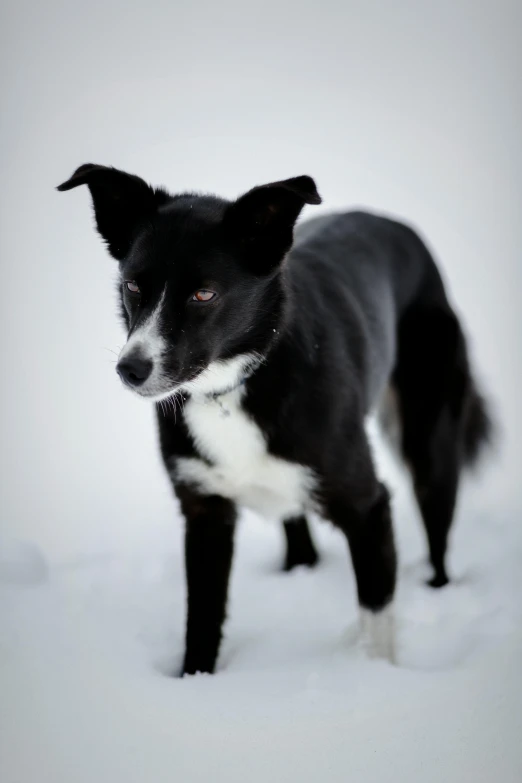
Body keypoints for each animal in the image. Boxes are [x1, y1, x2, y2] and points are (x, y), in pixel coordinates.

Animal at [59, 164, 490, 672]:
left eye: (204, 294)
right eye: (132, 286)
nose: (131, 369)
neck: (231, 388)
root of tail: (397, 226)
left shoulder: (368, 507)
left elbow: (376, 618)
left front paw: (376, 674)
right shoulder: (205, 509)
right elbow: (202, 618)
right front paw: (195, 679)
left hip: (429, 439)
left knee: (438, 527)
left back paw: (437, 586)